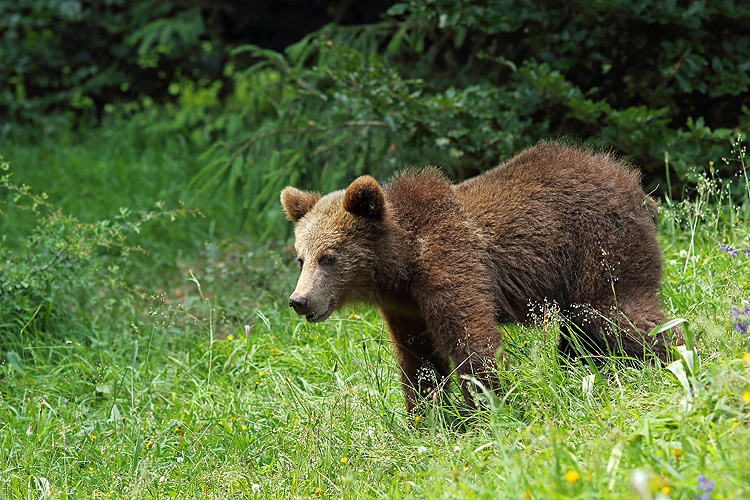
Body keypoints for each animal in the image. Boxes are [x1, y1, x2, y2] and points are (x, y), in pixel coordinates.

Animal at [280, 142, 684, 414]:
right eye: (301, 258)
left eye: (329, 257)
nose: (299, 301)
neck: (403, 263)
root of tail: (636, 186)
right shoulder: (405, 306)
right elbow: (417, 358)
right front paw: (423, 416)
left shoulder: (450, 264)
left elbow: (470, 339)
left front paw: (491, 407)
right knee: (582, 330)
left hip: (598, 246)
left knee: (615, 311)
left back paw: (676, 357)